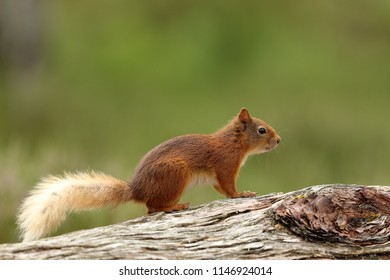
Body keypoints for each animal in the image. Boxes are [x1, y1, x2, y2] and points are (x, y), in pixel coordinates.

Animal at [17, 108, 280, 242]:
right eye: (262, 130)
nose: (279, 140)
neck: (233, 143)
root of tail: (137, 189)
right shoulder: (225, 165)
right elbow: (229, 188)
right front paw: (242, 194)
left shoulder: (218, 175)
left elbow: (219, 189)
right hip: (175, 173)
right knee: (153, 207)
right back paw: (175, 206)